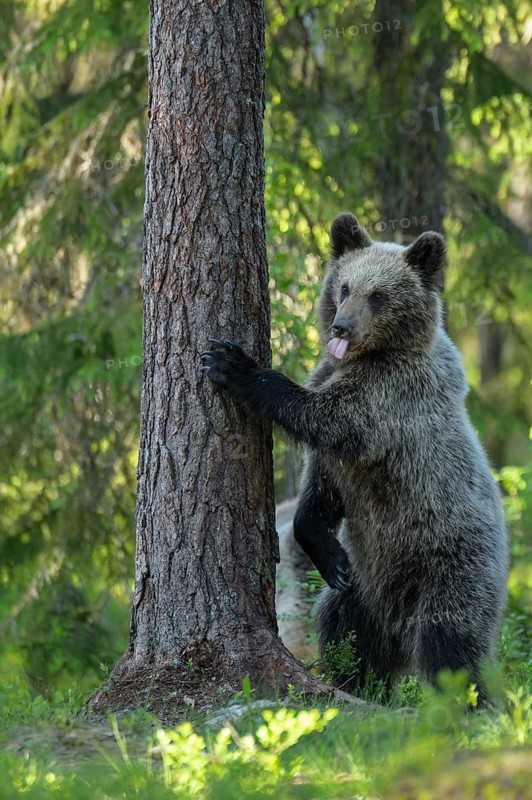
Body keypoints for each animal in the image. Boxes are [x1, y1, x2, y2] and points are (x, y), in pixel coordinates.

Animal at [201, 212, 508, 704]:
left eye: (378, 294)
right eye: (345, 287)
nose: (341, 327)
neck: (370, 356)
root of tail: (397, 614)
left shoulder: (389, 399)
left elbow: (326, 417)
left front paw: (232, 363)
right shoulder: (341, 423)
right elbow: (320, 492)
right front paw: (328, 552)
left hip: (451, 560)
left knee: (452, 642)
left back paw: (466, 705)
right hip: (370, 583)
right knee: (346, 629)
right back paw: (359, 684)